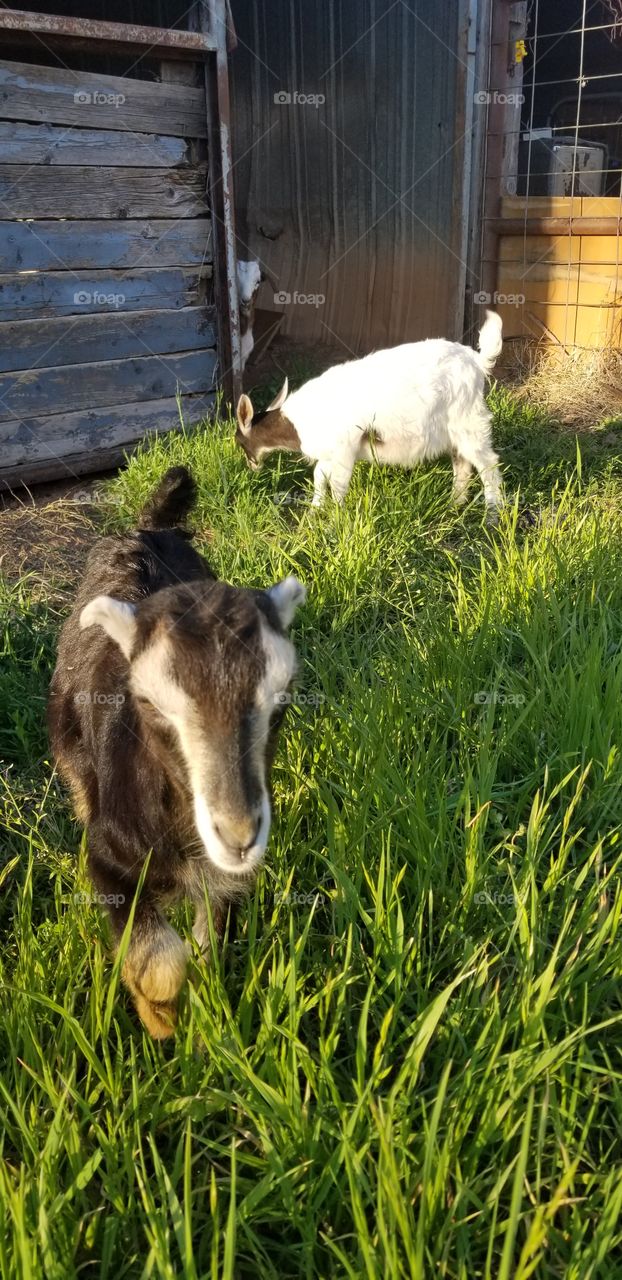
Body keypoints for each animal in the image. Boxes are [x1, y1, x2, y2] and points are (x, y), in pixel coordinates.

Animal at [48, 467, 306, 1038]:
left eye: (282, 700)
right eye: (150, 704)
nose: (238, 835)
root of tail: (144, 529)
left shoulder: (224, 881)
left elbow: (208, 947)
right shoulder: (108, 860)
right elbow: (160, 959)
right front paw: (162, 1018)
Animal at [235, 311, 504, 515]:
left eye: (238, 441)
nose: (251, 467)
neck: (297, 424)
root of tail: (476, 360)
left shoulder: (344, 448)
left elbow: (338, 485)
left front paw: (336, 520)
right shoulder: (329, 453)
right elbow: (319, 476)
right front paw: (314, 511)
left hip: (469, 420)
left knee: (487, 464)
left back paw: (492, 515)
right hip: (455, 430)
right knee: (463, 463)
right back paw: (454, 504)